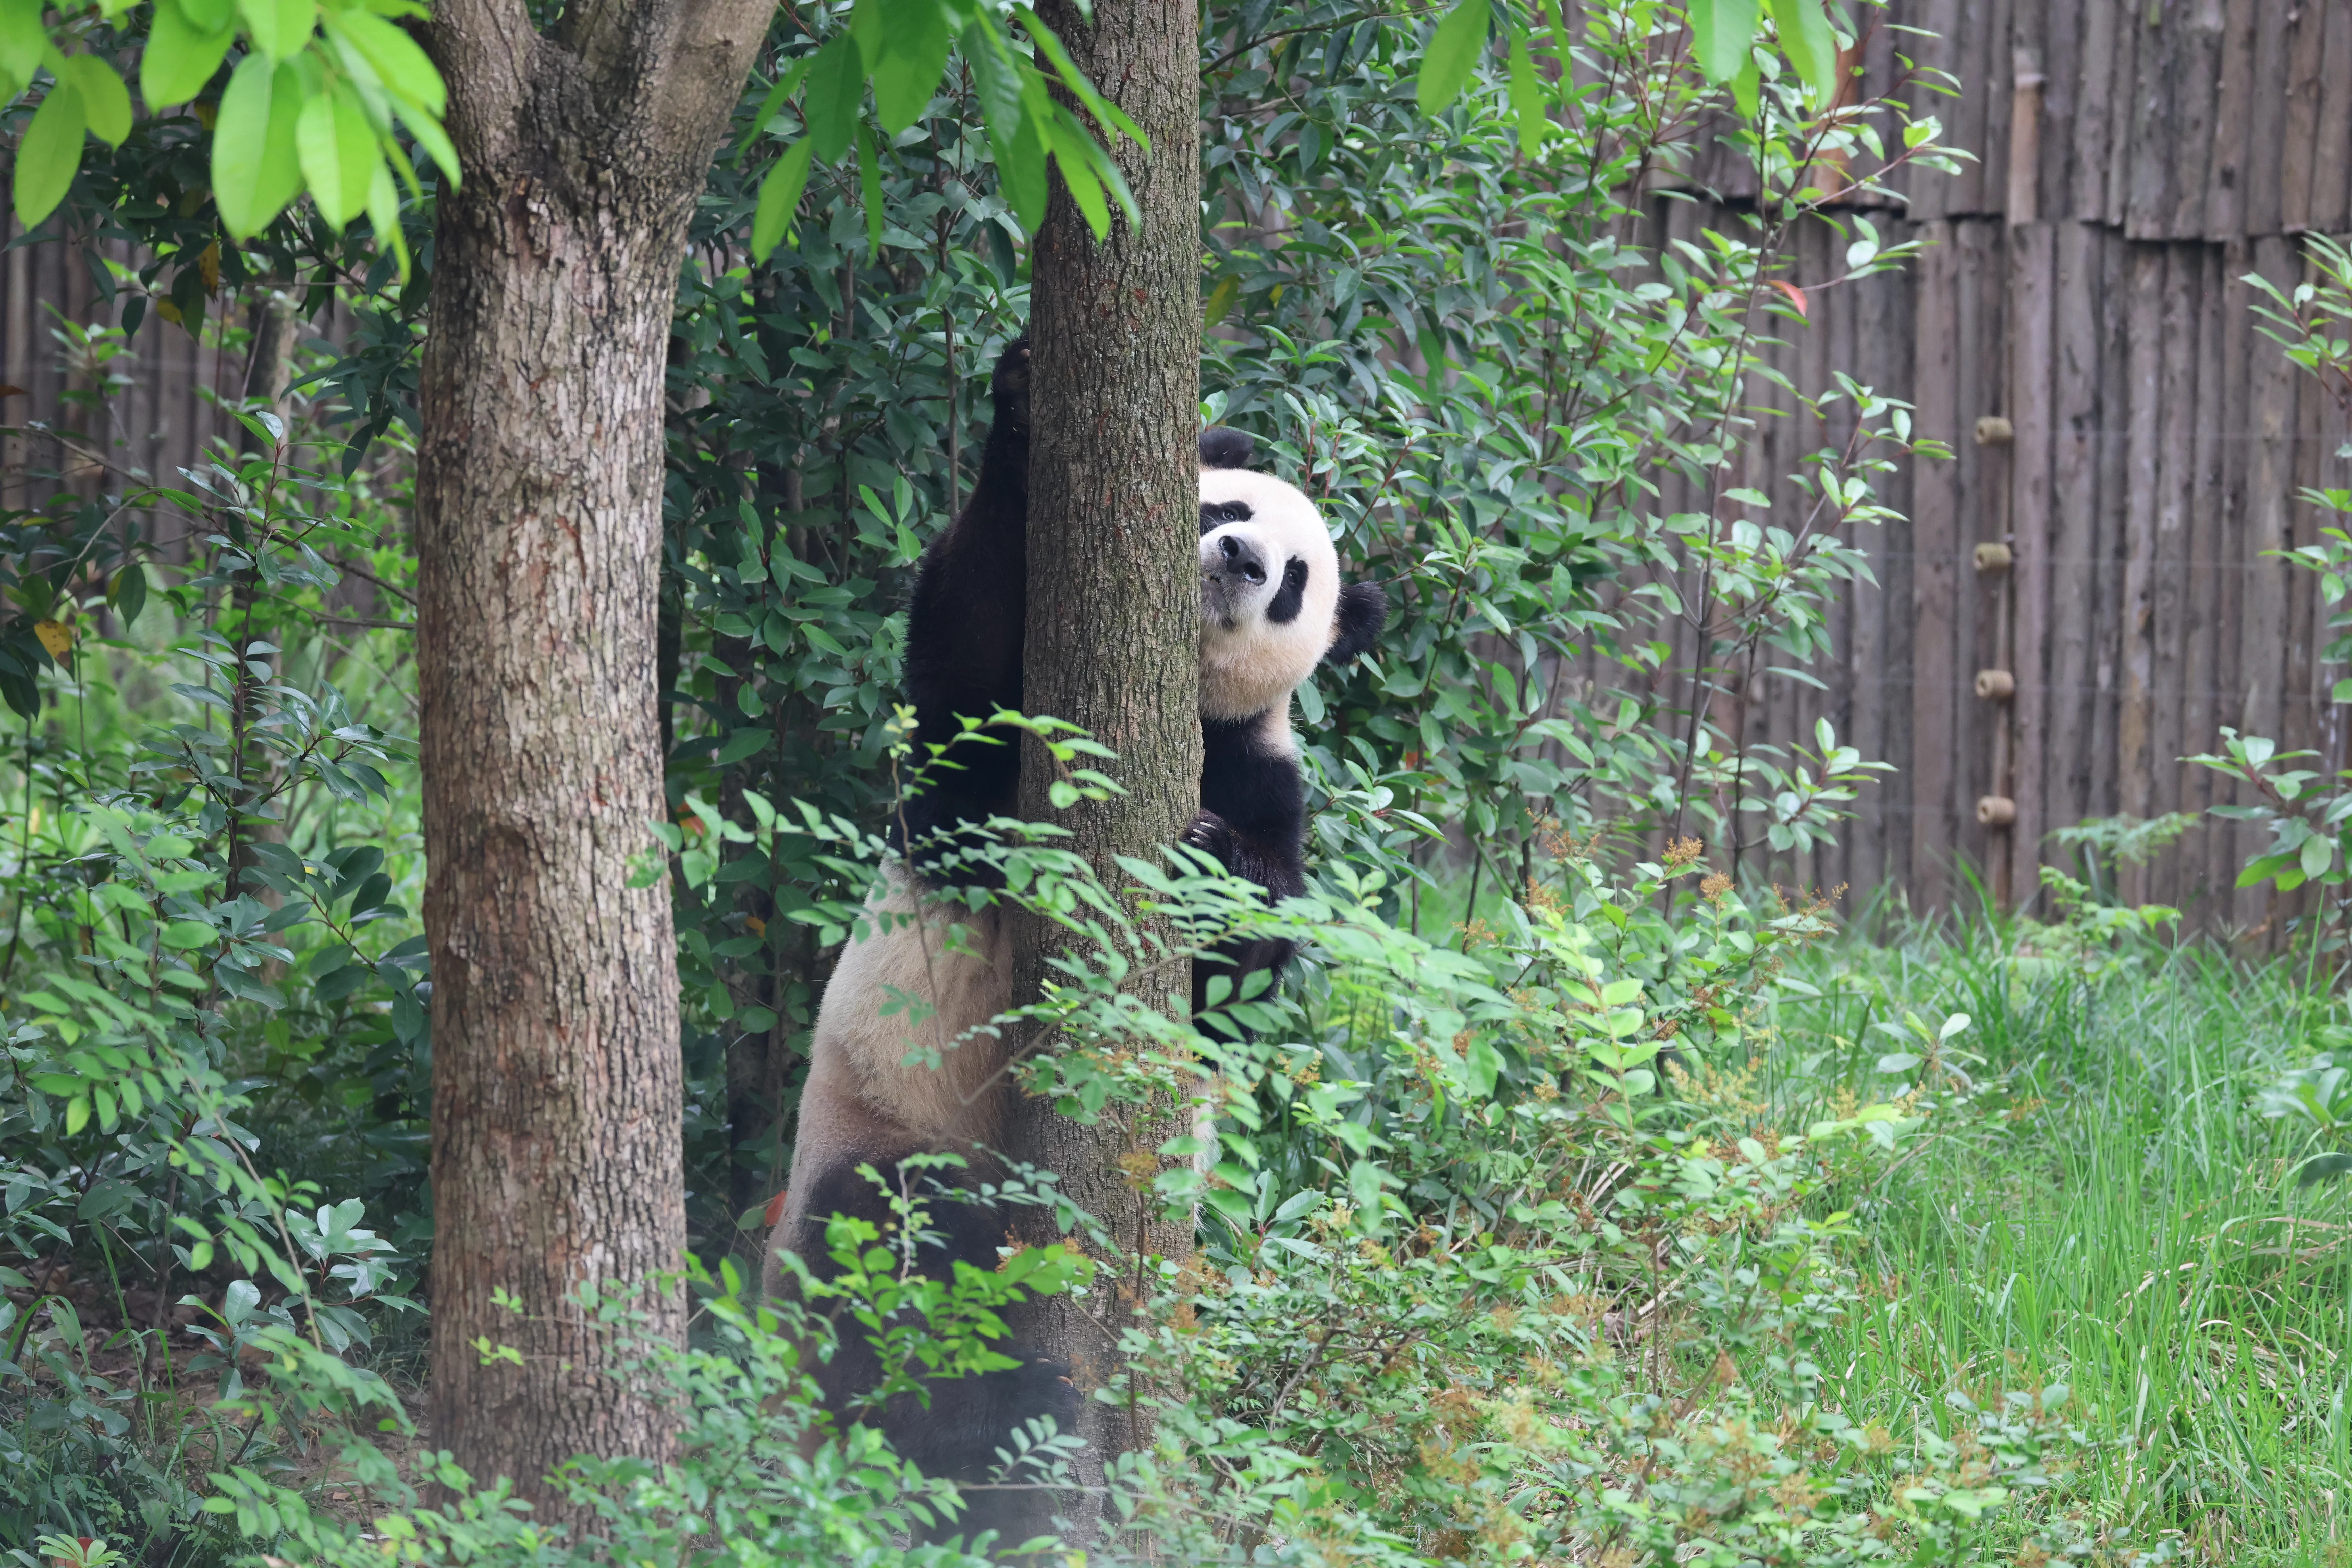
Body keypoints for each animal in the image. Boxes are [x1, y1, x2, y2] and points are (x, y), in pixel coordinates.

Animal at [762, 336, 1384, 1546]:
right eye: (1225, 506)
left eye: (1295, 580)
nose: (1240, 558)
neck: (1188, 711)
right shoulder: (982, 741)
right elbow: (961, 683)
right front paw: (1022, 402)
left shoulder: (1265, 770)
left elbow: (1243, 973)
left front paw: (1214, 866)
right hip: (888, 1120)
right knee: (909, 1254)